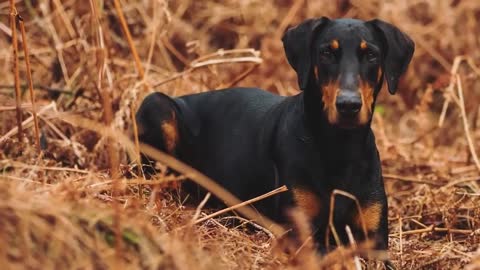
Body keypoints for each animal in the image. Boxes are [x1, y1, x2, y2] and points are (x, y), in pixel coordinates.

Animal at [135, 17, 412, 258]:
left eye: (371, 55)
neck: (340, 146)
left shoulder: (375, 240)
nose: (348, 105)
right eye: (326, 53)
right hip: (158, 106)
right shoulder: (300, 231)